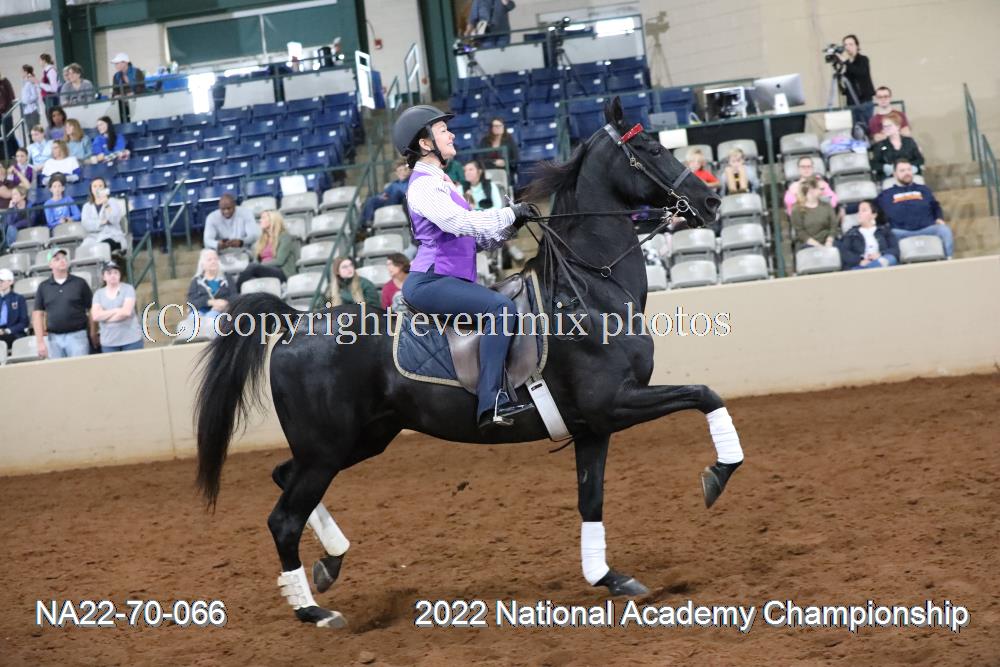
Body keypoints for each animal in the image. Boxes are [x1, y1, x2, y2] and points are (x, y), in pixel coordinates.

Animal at [195, 97, 741, 628]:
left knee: (282, 478)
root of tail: (295, 324)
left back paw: (331, 562)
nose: (712, 202)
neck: (587, 291)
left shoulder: (593, 425)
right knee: (283, 518)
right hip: (326, 449)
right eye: (651, 149)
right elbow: (705, 394)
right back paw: (313, 610)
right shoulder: (613, 403)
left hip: (358, 440)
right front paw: (717, 475)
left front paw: (607, 576)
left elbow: (592, 500)